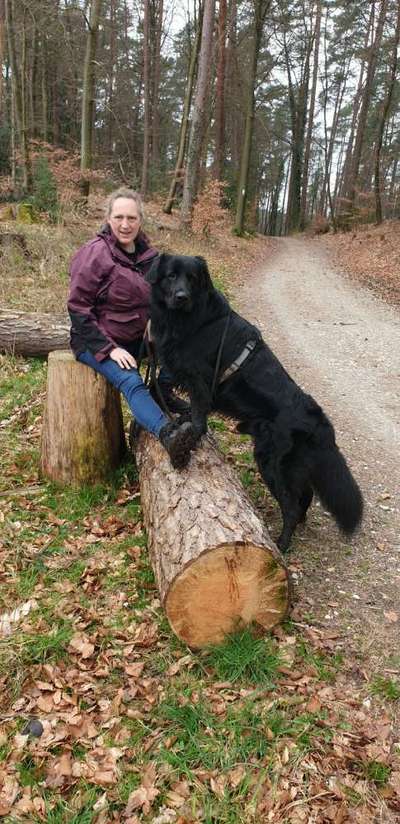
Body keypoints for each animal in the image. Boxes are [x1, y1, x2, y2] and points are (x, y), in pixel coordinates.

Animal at [146, 251, 362, 548]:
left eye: (192, 278)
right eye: (171, 275)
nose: (182, 296)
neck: (191, 319)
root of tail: (319, 421)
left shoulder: (200, 378)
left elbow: (199, 413)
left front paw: (192, 437)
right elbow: (189, 406)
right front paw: (182, 421)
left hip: (272, 461)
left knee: (291, 505)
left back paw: (282, 544)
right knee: (304, 496)